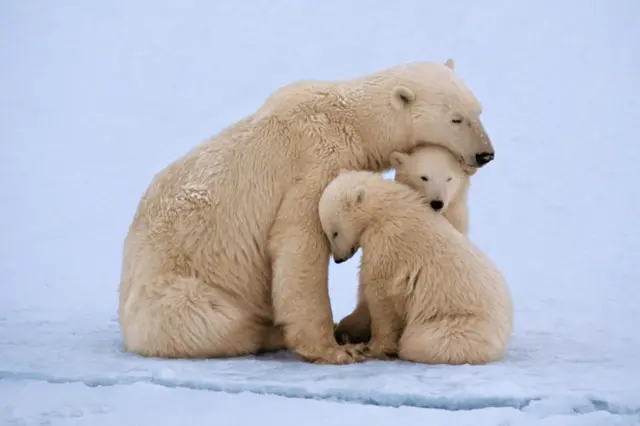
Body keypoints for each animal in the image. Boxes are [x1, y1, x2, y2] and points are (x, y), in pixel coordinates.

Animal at [319, 170, 513, 365]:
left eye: (334, 232)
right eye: (327, 233)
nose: (338, 259)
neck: (386, 209)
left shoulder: (388, 242)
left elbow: (382, 293)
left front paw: (372, 348)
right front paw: (347, 330)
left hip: (460, 324)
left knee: (421, 341)